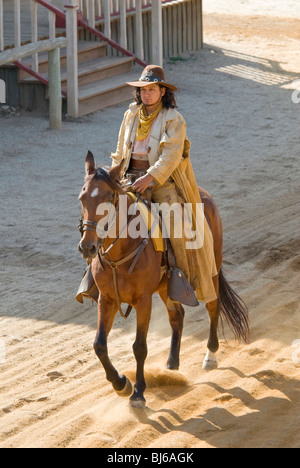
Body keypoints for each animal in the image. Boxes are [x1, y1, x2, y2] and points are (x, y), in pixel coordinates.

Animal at [77, 152, 248, 408]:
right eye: (82, 198)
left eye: (109, 198)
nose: (87, 246)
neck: (122, 251)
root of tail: (204, 194)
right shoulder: (107, 299)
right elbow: (99, 345)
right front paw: (120, 383)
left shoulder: (143, 301)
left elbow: (139, 346)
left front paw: (138, 392)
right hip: (167, 285)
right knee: (177, 316)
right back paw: (172, 364)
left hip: (212, 269)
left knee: (213, 306)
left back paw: (210, 356)